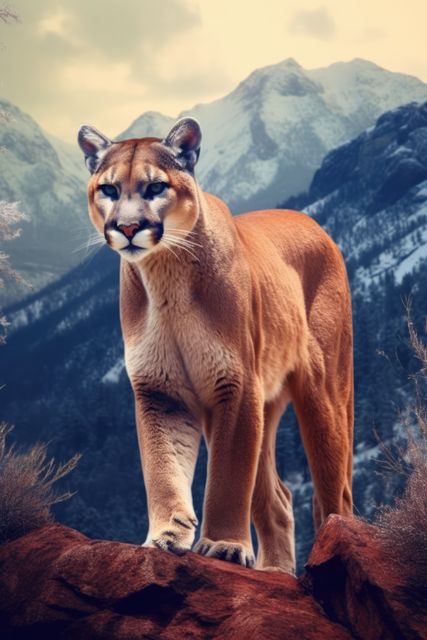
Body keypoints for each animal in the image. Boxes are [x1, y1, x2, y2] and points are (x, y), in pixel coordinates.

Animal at [78, 117, 352, 572]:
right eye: (110, 189)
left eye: (156, 187)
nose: (128, 228)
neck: (165, 276)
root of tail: (314, 224)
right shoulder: (161, 390)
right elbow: (162, 466)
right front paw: (165, 536)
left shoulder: (235, 384)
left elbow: (228, 477)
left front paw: (224, 545)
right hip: (262, 403)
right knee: (279, 498)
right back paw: (274, 572)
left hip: (324, 392)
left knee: (335, 492)